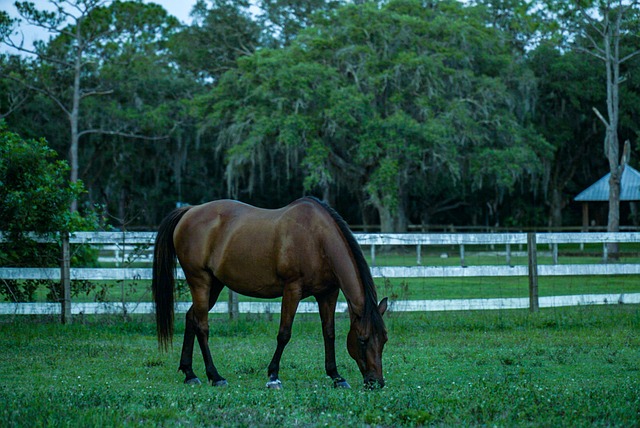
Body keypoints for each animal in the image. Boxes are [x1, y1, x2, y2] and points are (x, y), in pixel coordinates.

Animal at [152, 196, 388, 390]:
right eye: (363, 340)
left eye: (384, 339)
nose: (376, 382)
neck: (317, 238)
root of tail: (190, 211)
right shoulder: (292, 288)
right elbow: (284, 333)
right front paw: (273, 376)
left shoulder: (328, 293)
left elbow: (328, 333)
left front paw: (336, 376)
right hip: (199, 281)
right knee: (202, 325)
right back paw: (215, 376)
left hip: (214, 284)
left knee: (191, 317)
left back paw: (190, 373)